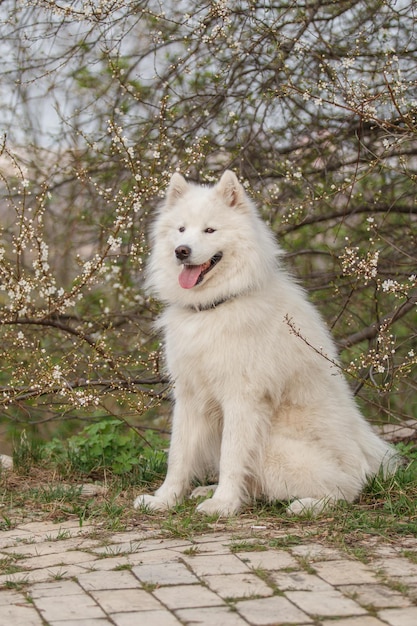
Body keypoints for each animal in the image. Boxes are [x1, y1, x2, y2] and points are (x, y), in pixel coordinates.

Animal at [134, 169, 396, 512]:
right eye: (181, 229)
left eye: (209, 229)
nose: (182, 250)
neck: (216, 305)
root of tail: (370, 459)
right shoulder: (189, 394)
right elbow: (178, 455)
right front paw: (165, 500)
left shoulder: (242, 398)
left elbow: (231, 457)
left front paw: (223, 505)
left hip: (276, 448)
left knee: (346, 489)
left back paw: (306, 506)